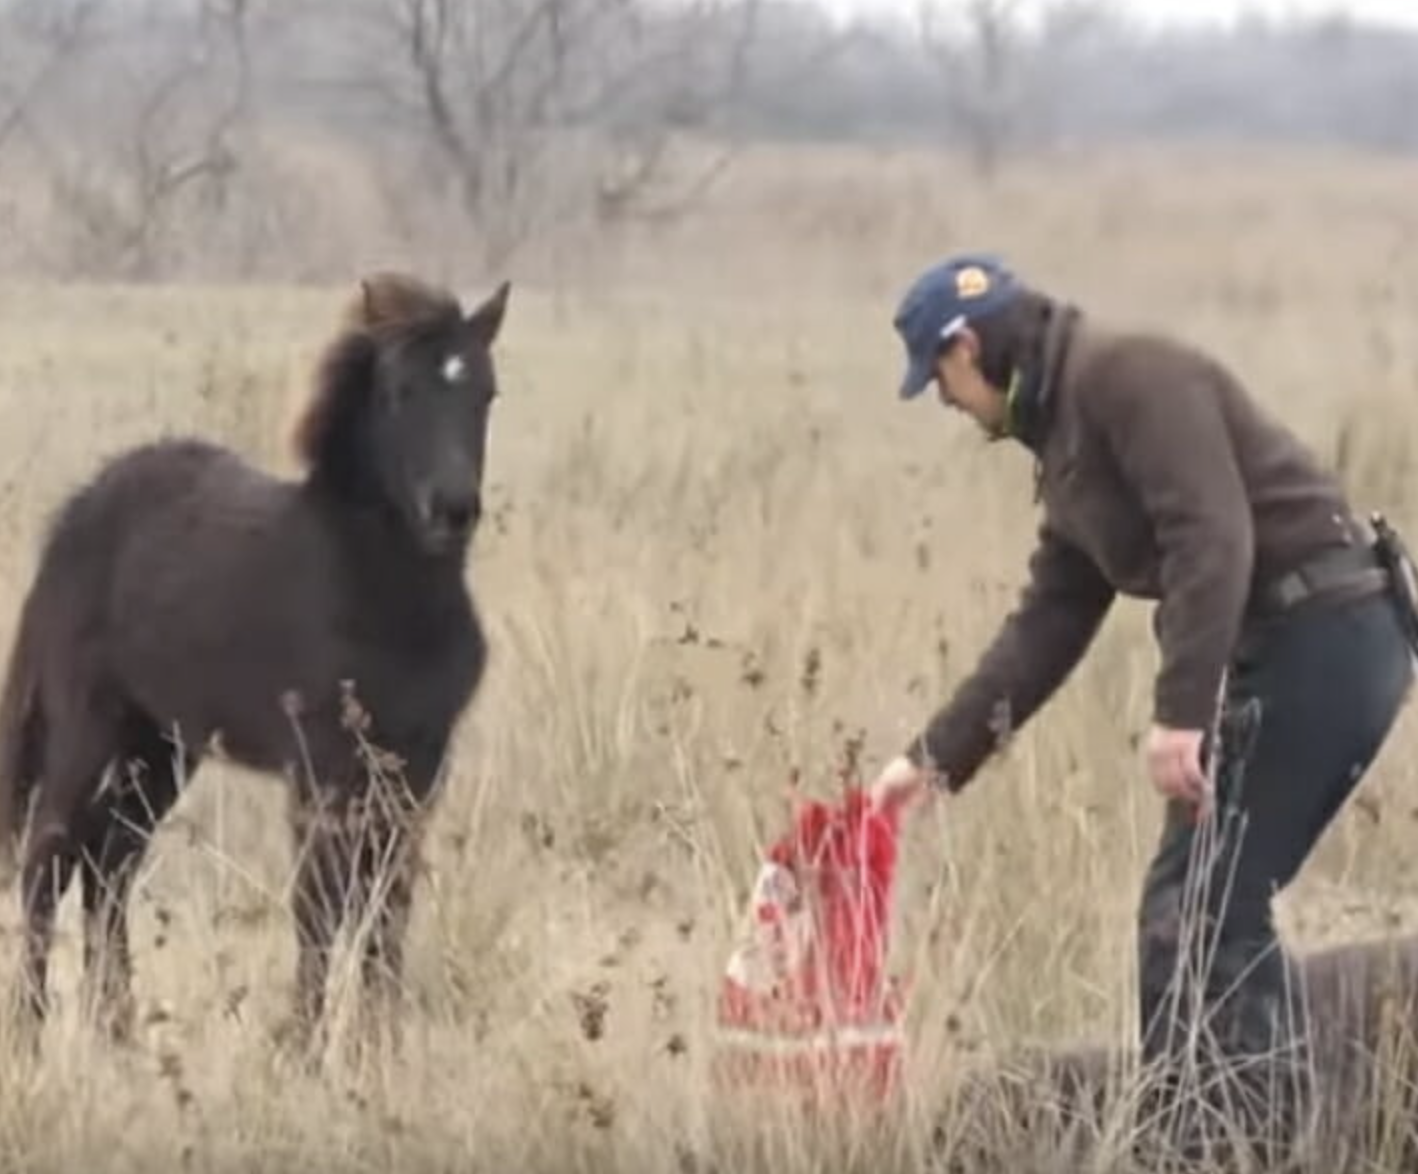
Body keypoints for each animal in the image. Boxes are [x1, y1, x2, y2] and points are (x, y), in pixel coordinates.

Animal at [0, 271, 510, 1054]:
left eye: (486, 392)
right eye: (399, 392)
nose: (452, 510)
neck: (380, 590)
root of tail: (77, 515)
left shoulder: (416, 767)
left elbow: (387, 902)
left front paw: (378, 1044)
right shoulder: (319, 767)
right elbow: (319, 905)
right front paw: (303, 1046)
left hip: (161, 749)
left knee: (110, 867)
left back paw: (118, 1031)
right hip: (90, 732)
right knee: (48, 859)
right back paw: (29, 1034)